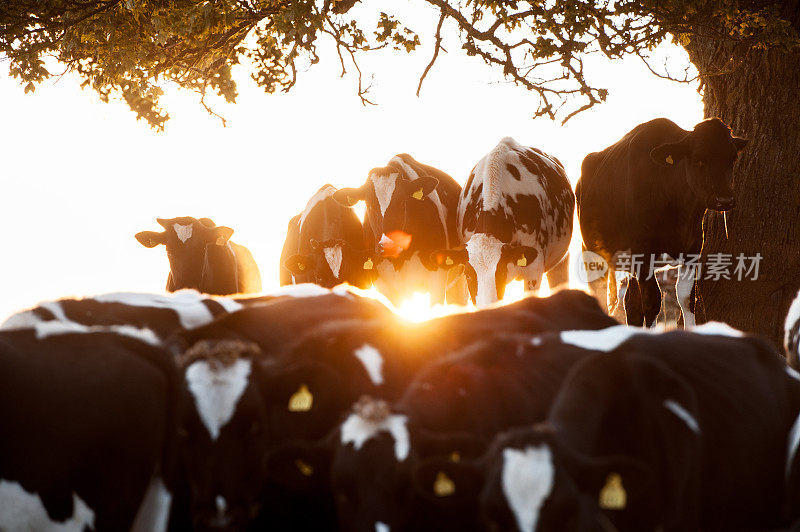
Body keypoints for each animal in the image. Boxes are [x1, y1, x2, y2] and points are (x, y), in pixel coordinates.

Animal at [580, 118, 748, 326]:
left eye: (731, 159)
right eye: (699, 159)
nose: (724, 200)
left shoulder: (693, 249)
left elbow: (686, 298)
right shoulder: (643, 253)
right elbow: (652, 302)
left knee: (631, 304)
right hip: (593, 252)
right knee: (600, 293)